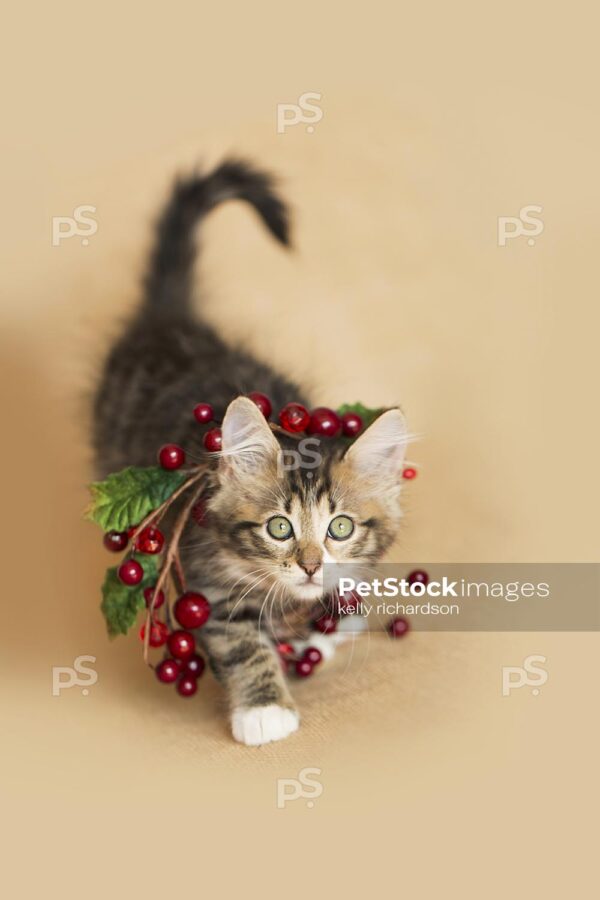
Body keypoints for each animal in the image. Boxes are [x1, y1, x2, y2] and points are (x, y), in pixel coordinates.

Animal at [92, 160, 408, 744]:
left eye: (341, 528)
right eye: (278, 528)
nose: (310, 566)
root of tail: (172, 320)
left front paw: (325, 626)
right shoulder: (206, 579)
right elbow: (242, 644)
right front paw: (265, 709)